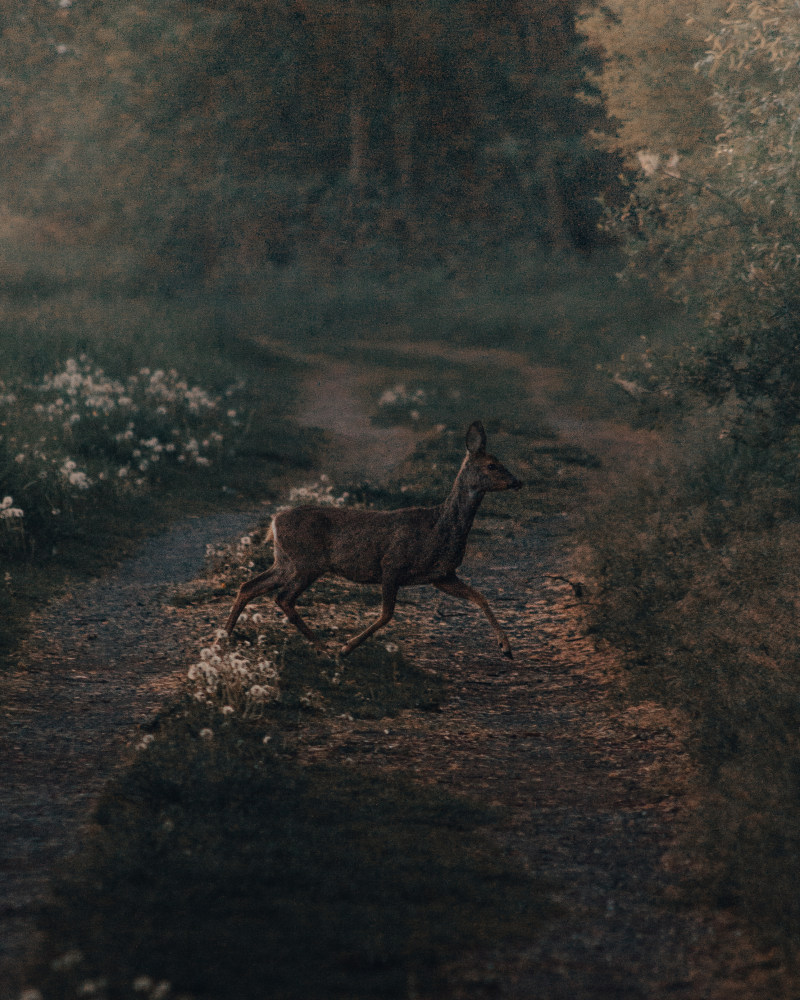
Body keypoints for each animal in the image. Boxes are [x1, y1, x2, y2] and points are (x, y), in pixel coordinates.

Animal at [225, 420, 524, 656]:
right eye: (492, 465)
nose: (517, 482)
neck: (439, 527)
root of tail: (275, 522)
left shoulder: (441, 575)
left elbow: (480, 597)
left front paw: (506, 648)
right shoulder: (392, 564)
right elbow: (386, 614)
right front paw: (346, 648)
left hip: (286, 561)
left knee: (249, 586)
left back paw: (226, 636)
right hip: (307, 562)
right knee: (283, 597)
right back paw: (323, 647)